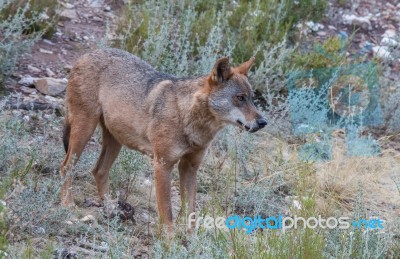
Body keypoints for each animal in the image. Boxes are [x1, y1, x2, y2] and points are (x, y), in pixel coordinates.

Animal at [61, 47, 268, 233]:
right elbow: (167, 212)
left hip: (114, 141)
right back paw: (67, 204)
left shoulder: (189, 168)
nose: (263, 122)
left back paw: (111, 209)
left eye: (252, 99)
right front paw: (169, 242)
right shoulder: (162, 165)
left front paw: (191, 241)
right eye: (240, 98)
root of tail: (86, 54)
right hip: (84, 131)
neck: (186, 116)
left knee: (99, 171)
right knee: (66, 167)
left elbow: (191, 212)